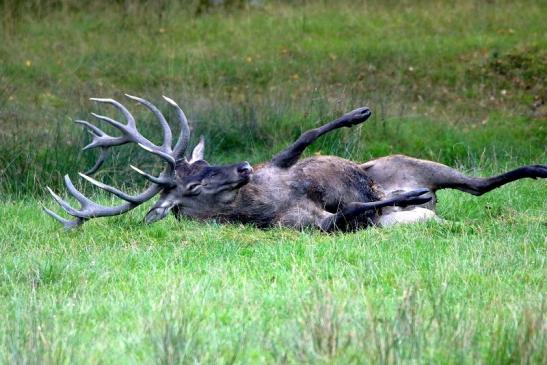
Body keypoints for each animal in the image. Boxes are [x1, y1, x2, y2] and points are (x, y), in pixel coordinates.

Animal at [45, 94, 544, 230]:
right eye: (193, 187)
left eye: (206, 167)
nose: (243, 168)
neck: (267, 201)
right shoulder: (303, 226)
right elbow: (345, 210)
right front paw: (392, 199)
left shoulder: (282, 162)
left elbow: (304, 135)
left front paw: (358, 113)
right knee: (476, 188)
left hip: (410, 159)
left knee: (478, 184)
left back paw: (538, 168)